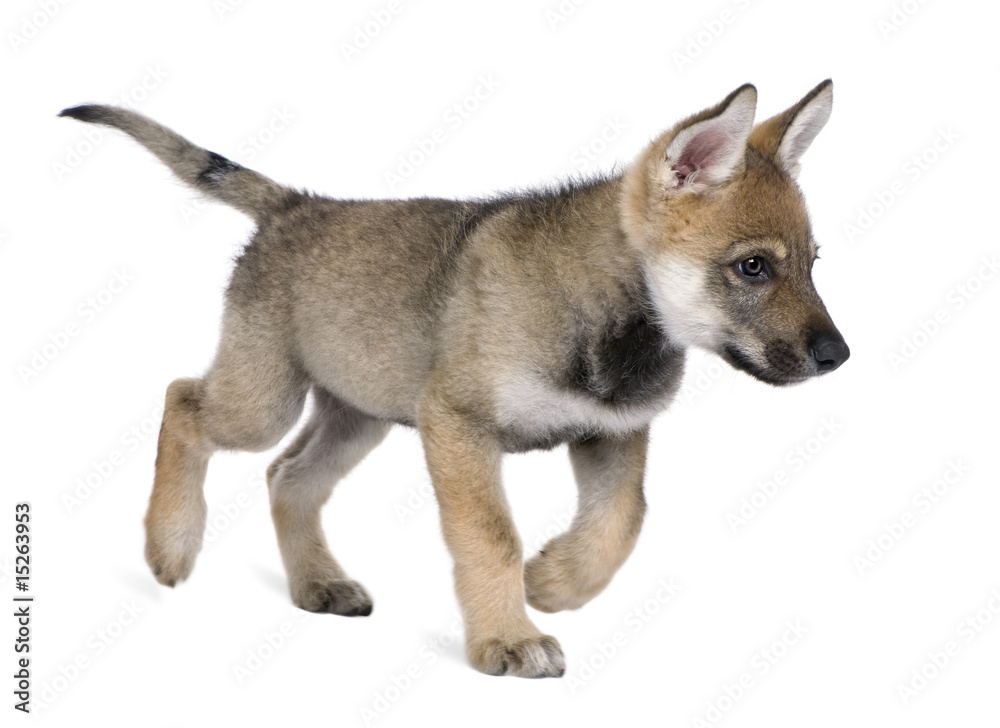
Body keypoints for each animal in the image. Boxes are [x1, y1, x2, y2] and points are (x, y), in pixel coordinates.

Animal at [60, 80, 848, 678]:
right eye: (753, 266)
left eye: (813, 264)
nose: (838, 356)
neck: (607, 313)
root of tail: (297, 205)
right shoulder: (458, 427)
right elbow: (492, 538)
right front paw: (509, 636)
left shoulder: (613, 436)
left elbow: (621, 525)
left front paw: (554, 583)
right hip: (264, 402)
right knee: (182, 402)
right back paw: (170, 543)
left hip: (359, 415)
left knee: (288, 478)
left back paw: (318, 583)